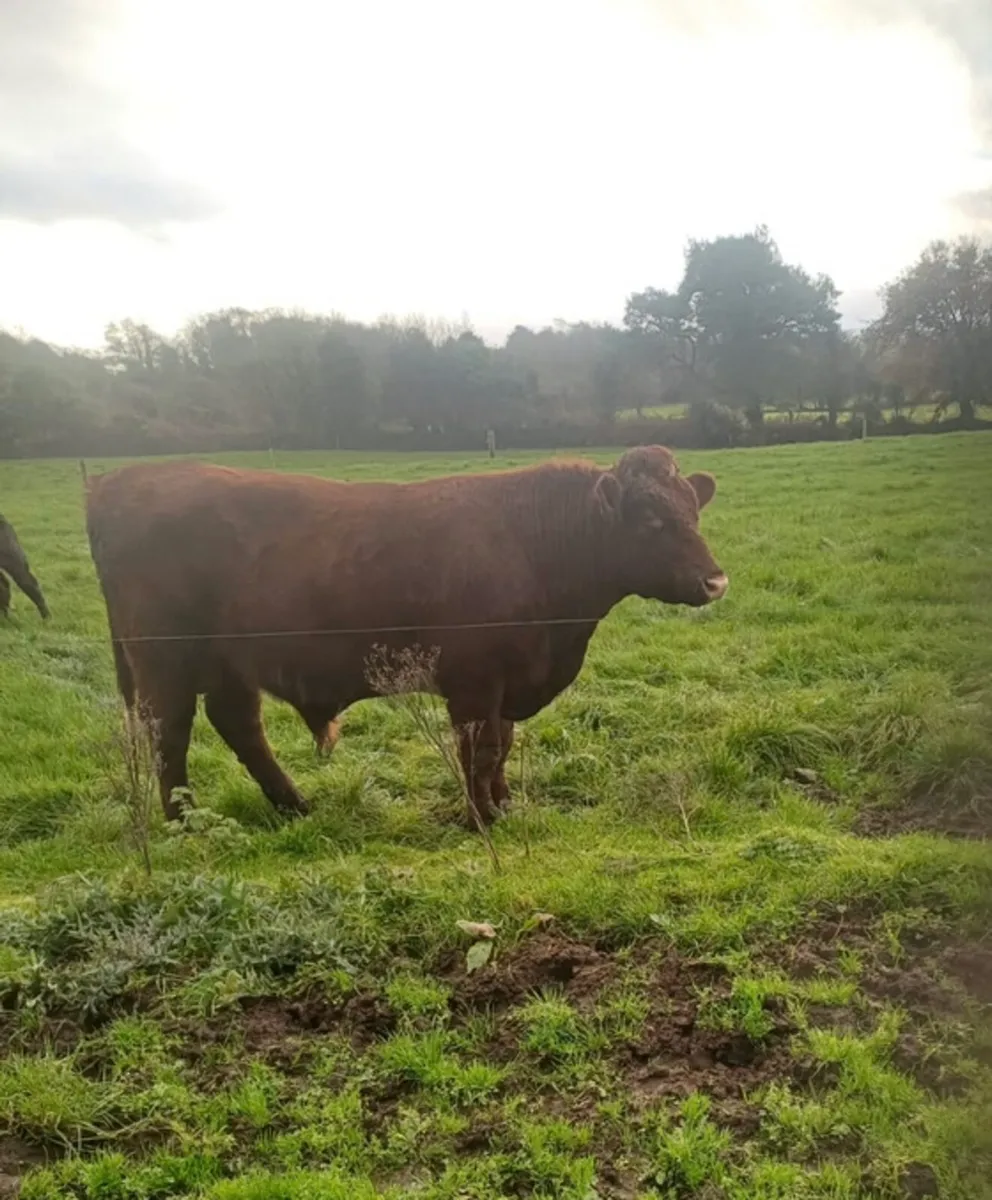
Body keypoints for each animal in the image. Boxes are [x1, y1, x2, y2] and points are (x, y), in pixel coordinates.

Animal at [85, 446, 727, 826]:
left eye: (693, 512)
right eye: (651, 520)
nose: (715, 580)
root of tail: (118, 480)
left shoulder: (508, 682)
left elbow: (502, 745)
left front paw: (504, 805)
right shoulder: (473, 682)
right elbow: (479, 748)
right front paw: (481, 815)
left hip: (231, 663)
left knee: (239, 725)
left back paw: (295, 804)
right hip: (164, 662)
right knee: (169, 734)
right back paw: (183, 822)